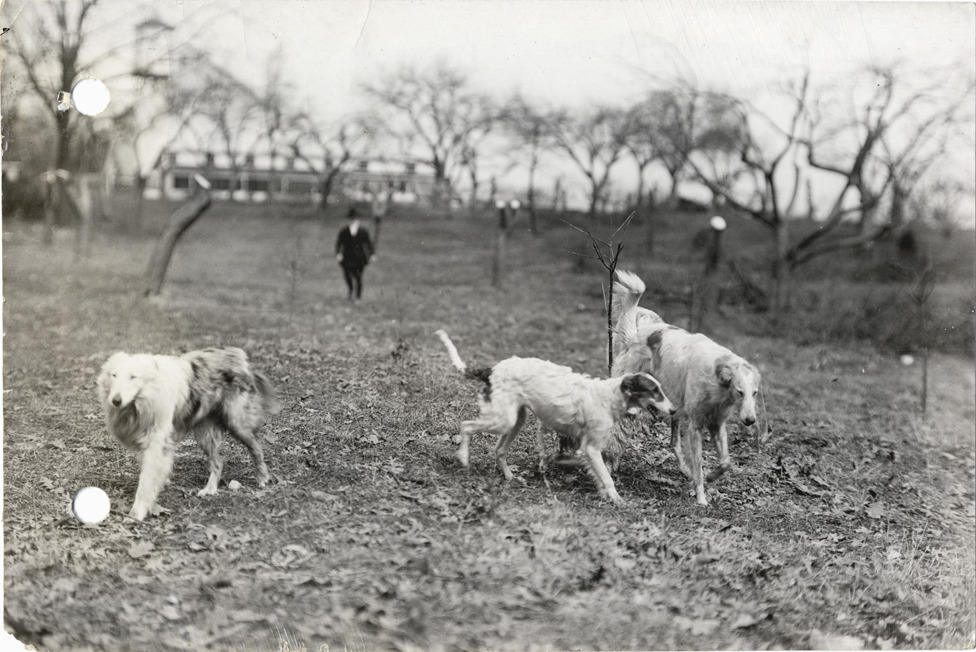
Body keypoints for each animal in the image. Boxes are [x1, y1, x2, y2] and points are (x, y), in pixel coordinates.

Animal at [97, 347, 278, 520]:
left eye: (133, 377)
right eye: (114, 375)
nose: (116, 400)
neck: (145, 399)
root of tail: (238, 355)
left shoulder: (157, 444)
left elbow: (145, 484)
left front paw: (136, 514)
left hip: (237, 423)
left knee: (256, 448)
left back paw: (262, 477)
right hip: (204, 435)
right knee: (218, 461)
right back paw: (210, 489)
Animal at [435, 329, 675, 504]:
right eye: (654, 391)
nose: (674, 410)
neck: (609, 397)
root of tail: (492, 369)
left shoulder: (583, 444)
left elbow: (582, 464)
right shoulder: (591, 447)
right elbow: (606, 477)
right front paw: (617, 499)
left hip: (515, 420)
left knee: (499, 450)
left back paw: (510, 476)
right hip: (503, 420)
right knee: (466, 425)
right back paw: (463, 458)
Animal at [611, 271, 761, 506]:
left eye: (754, 393)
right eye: (740, 392)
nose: (750, 420)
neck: (716, 375)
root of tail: (636, 334)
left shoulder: (716, 424)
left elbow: (725, 462)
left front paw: (711, 477)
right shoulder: (696, 426)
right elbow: (698, 463)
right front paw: (701, 498)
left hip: (673, 409)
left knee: (673, 443)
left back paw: (683, 470)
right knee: (618, 433)